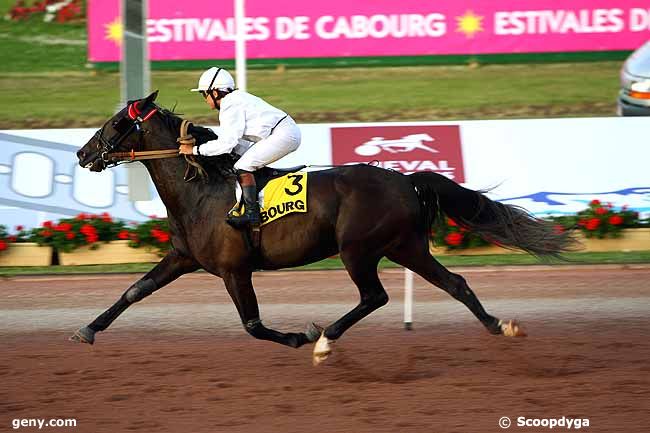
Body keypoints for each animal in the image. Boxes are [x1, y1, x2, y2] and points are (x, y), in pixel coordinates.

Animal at [73, 92, 576, 364]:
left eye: (116, 123)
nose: (82, 153)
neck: (201, 190)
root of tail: (406, 179)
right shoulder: (183, 257)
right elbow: (134, 291)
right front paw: (87, 330)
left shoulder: (235, 270)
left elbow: (253, 324)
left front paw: (299, 337)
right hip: (406, 247)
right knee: (455, 283)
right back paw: (499, 327)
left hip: (358, 248)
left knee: (375, 296)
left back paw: (323, 341)